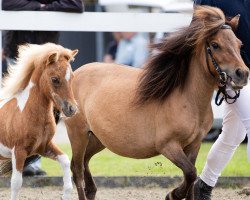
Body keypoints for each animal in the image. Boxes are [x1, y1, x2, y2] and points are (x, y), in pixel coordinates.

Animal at [0, 43, 77, 199]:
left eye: (71, 77)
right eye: (55, 79)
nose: (72, 109)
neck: (27, 112)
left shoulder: (44, 147)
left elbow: (66, 161)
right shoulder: (18, 151)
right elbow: (16, 183)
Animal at [65, 6, 249, 200]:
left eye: (239, 44)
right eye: (215, 45)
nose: (242, 74)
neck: (187, 99)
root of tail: (75, 73)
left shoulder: (194, 144)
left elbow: (191, 178)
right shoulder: (168, 146)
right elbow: (190, 173)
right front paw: (173, 195)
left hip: (98, 138)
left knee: (84, 161)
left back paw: (91, 190)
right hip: (78, 134)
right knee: (77, 169)